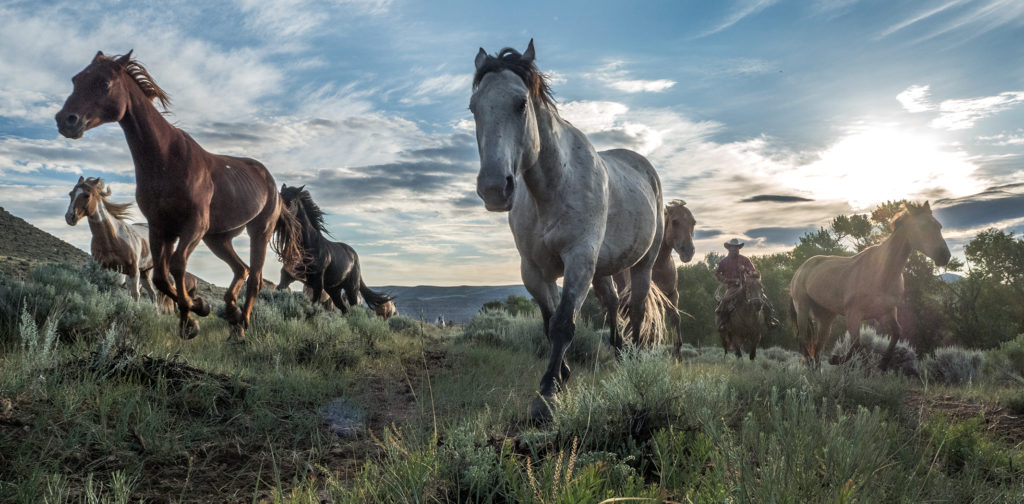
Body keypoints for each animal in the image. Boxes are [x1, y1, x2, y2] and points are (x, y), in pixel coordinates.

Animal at [56, 51, 303, 340]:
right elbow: (162, 278)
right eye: (76, 79)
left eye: (104, 83)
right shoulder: (161, 228)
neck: (167, 159)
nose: (65, 120)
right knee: (240, 269)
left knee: (255, 278)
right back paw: (232, 313)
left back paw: (241, 328)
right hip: (218, 238)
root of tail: (271, 183)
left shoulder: (193, 226)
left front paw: (194, 314)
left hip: (259, 231)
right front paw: (196, 312)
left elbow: (176, 268)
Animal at [274, 183, 393, 313]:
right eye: (280, 196)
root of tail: (354, 255)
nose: (277, 218)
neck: (308, 247)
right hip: (334, 290)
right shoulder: (287, 276)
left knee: (353, 308)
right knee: (344, 309)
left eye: (291, 201)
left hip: (351, 289)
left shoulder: (317, 284)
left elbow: (313, 304)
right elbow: (278, 290)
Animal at [468, 41, 663, 424]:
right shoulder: (533, 269)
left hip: (641, 262)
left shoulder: (578, 260)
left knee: (634, 307)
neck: (554, 186)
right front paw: (562, 373)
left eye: (521, 103)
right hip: (602, 268)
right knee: (612, 303)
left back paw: (632, 356)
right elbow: (549, 321)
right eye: (473, 108)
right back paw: (618, 350)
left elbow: (563, 323)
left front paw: (547, 394)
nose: (495, 188)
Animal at [610, 198, 700, 352]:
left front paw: (677, 353)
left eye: (693, 222)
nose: (688, 251)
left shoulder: (672, 294)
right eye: (675, 221)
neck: (659, 265)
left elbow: (675, 318)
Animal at [790, 201, 950, 370]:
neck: (882, 274)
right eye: (922, 226)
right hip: (802, 308)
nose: (944, 256)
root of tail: (802, 268)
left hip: (826, 316)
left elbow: (896, 334)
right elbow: (856, 345)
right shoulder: (853, 315)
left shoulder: (886, 312)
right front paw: (837, 359)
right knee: (804, 340)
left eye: (939, 226)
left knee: (818, 347)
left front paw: (882, 364)